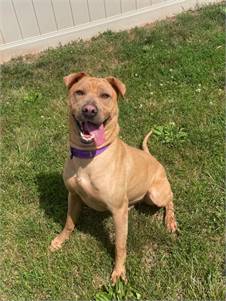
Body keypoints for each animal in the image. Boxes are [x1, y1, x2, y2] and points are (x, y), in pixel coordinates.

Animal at [49, 72, 177, 282]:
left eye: (105, 96)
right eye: (79, 92)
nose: (89, 110)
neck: (89, 156)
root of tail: (153, 158)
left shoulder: (117, 211)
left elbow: (120, 244)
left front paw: (118, 272)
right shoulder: (73, 195)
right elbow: (69, 223)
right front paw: (60, 240)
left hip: (156, 194)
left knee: (170, 199)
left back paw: (170, 221)